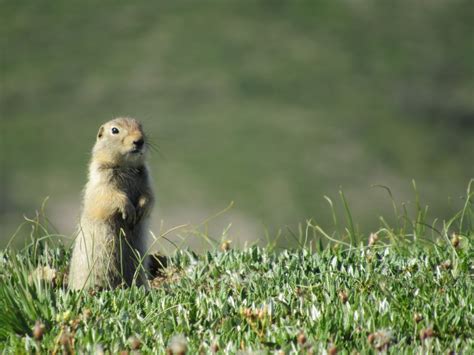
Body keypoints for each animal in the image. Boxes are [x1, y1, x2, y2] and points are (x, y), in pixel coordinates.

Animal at [68, 118, 155, 290]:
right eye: (115, 130)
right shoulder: (101, 177)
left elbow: (149, 195)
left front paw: (141, 208)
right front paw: (128, 209)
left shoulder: (147, 177)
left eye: (140, 126)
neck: (126, 166)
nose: (139, 140)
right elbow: (109, 195)